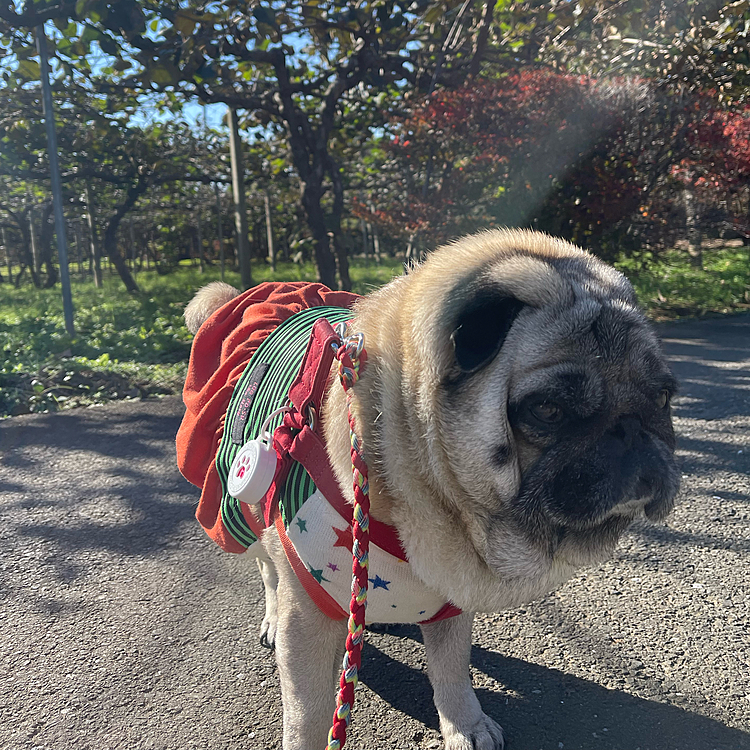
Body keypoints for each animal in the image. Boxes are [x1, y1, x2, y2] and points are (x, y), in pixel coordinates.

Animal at [184, 231, 680, 750]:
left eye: (664, 398)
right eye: (547, 409)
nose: (631, 429)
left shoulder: (451, 595)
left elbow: (452, 671)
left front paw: (464, 725)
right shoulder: (308, 618)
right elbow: (309, 712)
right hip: (243, 512)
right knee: (267, 570)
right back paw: (270, 615)